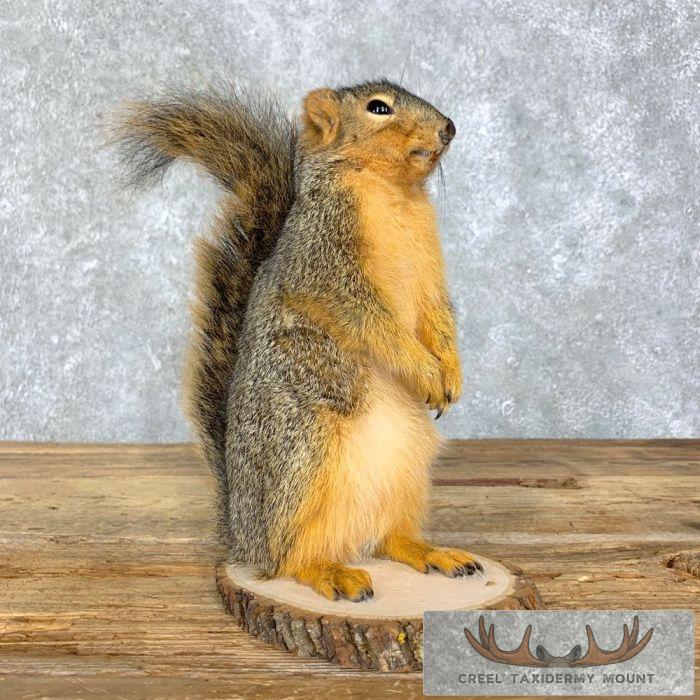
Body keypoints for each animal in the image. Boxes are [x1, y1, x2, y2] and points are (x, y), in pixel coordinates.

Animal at [114, 78, 482, 601]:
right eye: (378, 108)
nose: (448, 127)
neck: (393, 192)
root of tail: (242, 534)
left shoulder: (432, 273)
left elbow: (439, 317)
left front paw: (450, 372)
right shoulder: (323, 264)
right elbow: (371, 321)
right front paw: (425, 369)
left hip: (409, 471)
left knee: (388, 539)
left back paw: (432, 553)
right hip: (302, 454)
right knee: (288, 558)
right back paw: (328, 572)